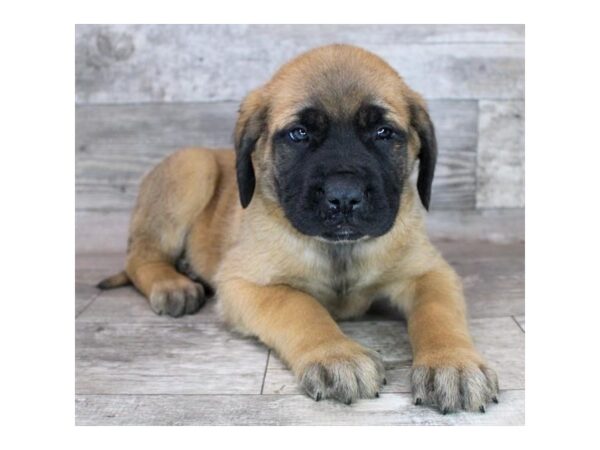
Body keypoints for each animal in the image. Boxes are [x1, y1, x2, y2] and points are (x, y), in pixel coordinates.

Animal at [101, 44, 500, 414]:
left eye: (384, 132)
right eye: (299, 134)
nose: (344, 197)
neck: (340, 251)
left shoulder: (429, 271)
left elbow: (438, 312)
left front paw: (453, 363)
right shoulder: (244, 283)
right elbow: (299, 306)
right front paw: (337, 355)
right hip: (192, 168)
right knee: (141, 257)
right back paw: (173, 284)